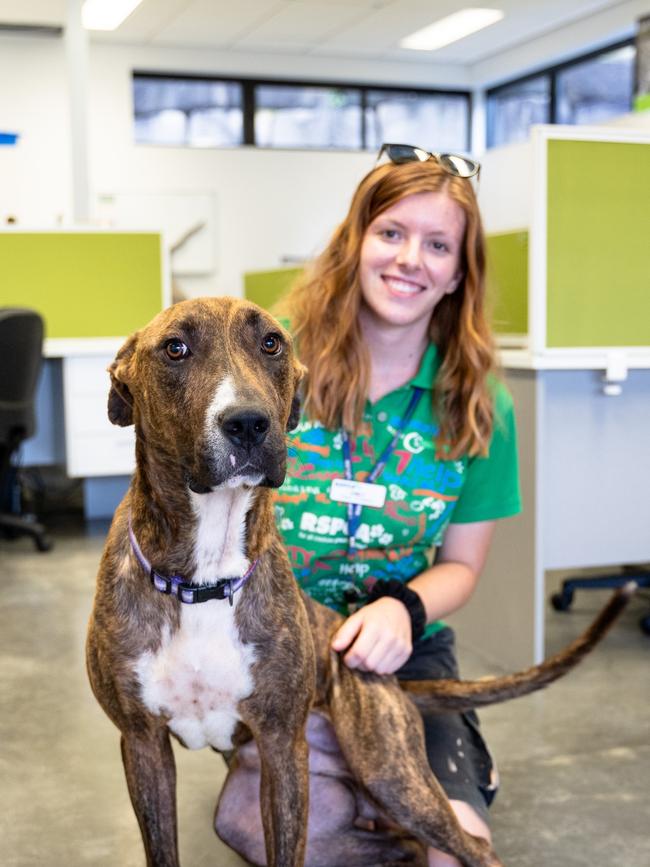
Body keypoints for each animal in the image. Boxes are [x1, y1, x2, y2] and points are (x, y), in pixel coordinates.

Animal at [86, 296, 628, 867]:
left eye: (272, 342)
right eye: (175, 348)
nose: (249, 423)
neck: (205, 580)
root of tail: (392, 684)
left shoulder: (281, 745)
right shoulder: (142, 744)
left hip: (390, 771)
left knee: (474, 845)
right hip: (265, 813)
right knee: (399, 846)